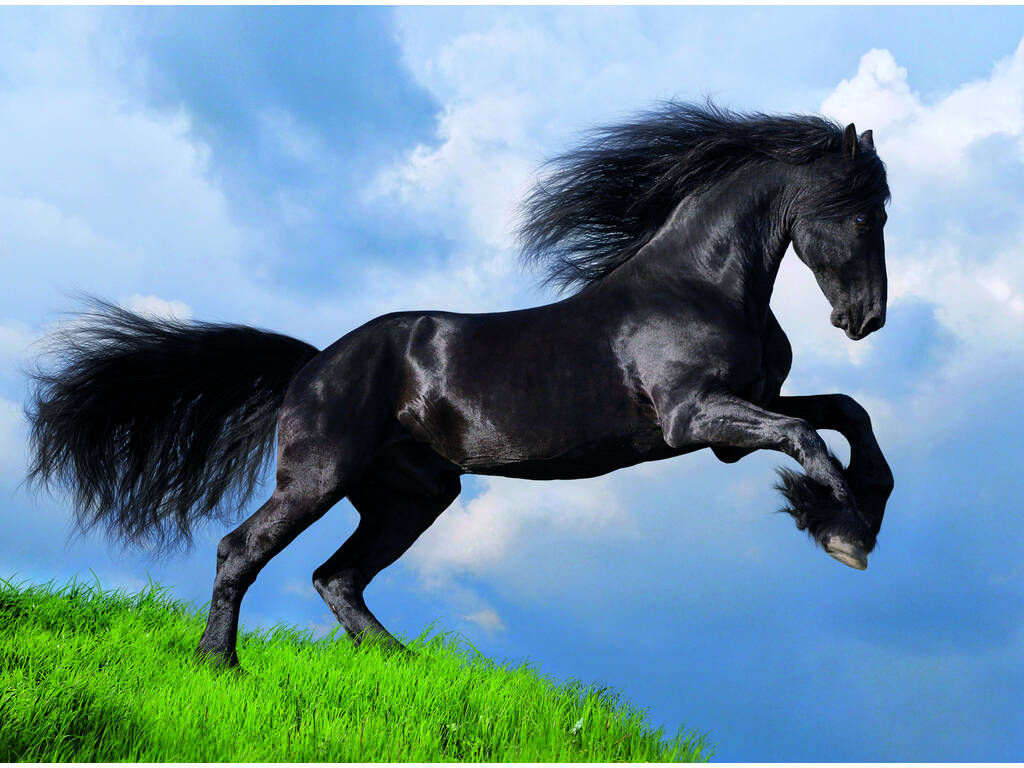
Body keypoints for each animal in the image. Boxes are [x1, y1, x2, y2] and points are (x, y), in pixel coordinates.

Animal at [26, 102, 894, 668]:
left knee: (336, 576)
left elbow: (845, 414)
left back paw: (404, 664)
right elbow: (809, 434)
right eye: (862, 215)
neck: (700, 286)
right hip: (319, 475)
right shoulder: (695, 419)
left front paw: (858, 514)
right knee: (243, 549)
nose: (866, 319)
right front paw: (843, 534)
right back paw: (218, 663)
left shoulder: (735, 422)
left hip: (412, 495)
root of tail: (311, 365)